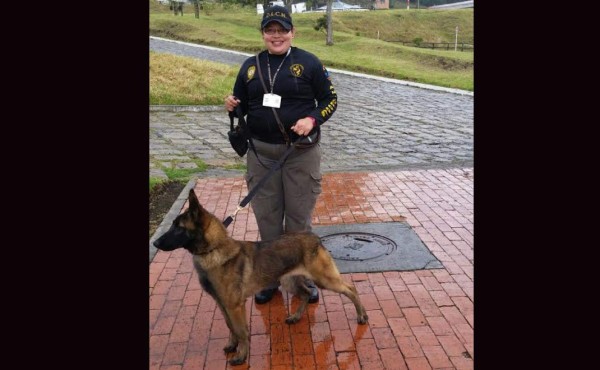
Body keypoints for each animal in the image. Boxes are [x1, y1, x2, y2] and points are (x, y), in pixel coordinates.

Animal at [152, 189, 368, 366]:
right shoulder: (222, 304)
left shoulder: (235, 306)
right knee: (306, 294)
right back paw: (296, 317)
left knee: (351, 289)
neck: (214, 250)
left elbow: (241, 330)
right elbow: (230, 327)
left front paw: (241, 355)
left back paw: (362, 316)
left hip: (324, 280)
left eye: (179, 228)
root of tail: (314, 237)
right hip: (288, 281)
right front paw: (232, 346)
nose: (154, 243)